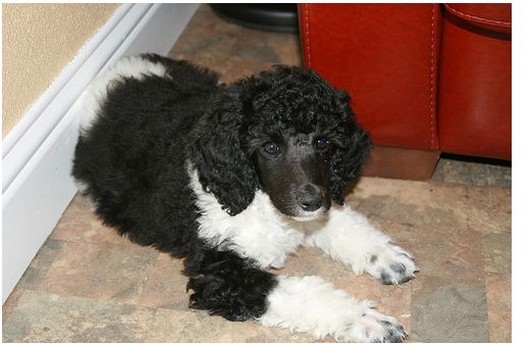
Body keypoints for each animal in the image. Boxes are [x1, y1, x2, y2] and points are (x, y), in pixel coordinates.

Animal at [71, 53, 416, 342]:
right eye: (270, 147)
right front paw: (366, 321)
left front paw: (386, 257)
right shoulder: (222, 272)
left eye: (323, 142)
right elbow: (297, 292)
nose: (311, 202)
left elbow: (345, 224)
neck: (258, 197)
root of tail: (117, 71)